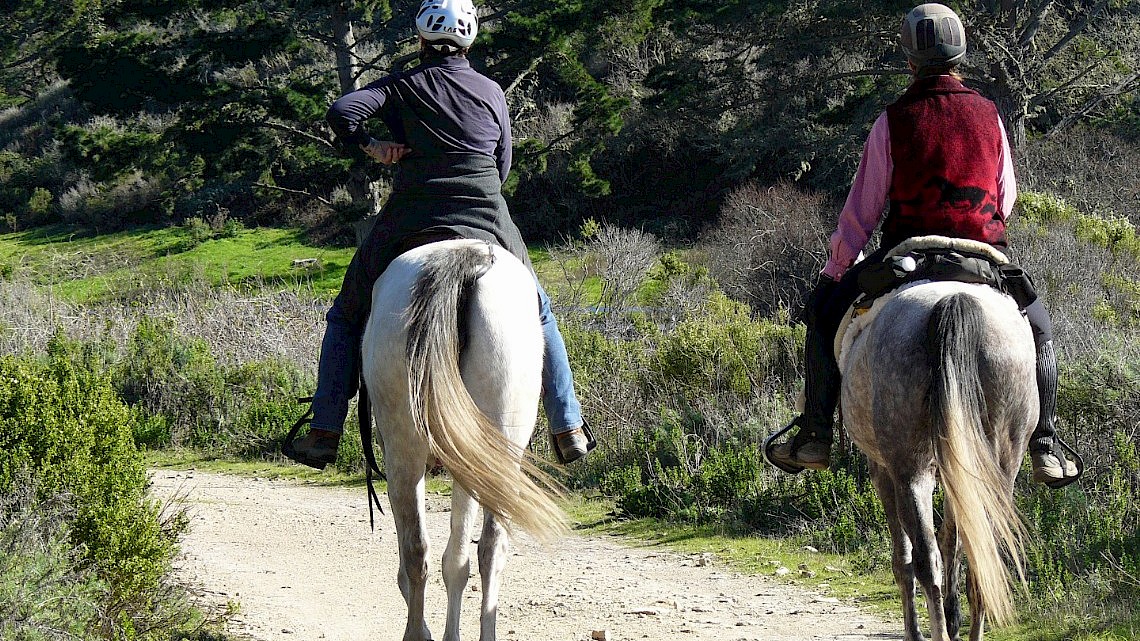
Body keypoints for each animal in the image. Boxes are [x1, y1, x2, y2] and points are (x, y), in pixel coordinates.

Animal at [362, 237, 567, 638]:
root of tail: (468, 258)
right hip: (492, 458)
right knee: (482, 550)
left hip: (410, 455)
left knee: (425, 552)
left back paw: (420, 632)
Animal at [843, 240, 1039, 638]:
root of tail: (954, 298)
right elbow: (955, 541)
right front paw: (954, 615)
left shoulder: (882, 471)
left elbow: (903, 557)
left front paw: (916, 629)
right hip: (998, 463)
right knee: (980, 556)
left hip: (909, 469)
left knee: (923, 557)